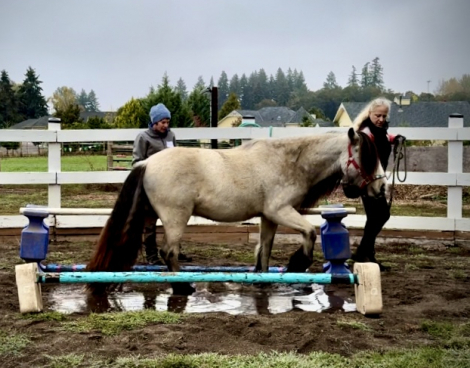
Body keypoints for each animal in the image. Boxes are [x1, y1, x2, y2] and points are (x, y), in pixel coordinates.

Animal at [87, 128, 386, 294]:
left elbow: (264, 250)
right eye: (367, 158)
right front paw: (296, 264)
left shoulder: (268, 217)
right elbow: (310, 233)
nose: (381, 187)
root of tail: (147, 163)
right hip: (175, 218)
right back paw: (183, 287)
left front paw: (262, 279)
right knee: (168, 252)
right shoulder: (280, 211)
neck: (288, 161)